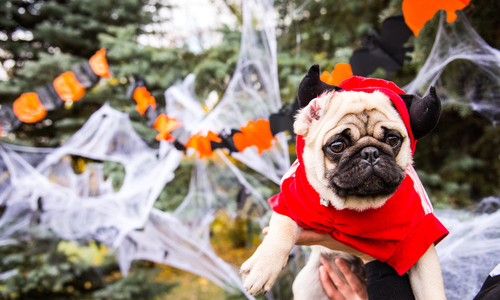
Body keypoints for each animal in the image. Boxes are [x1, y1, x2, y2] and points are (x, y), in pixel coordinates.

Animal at [239, 64, 450, 298]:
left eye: (393, 139)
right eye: (337, 146)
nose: (370, 153)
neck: (353, 205)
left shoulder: (420, 239)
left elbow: (431, 289)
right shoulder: (291, 201)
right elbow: (281, 231)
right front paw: (263, 268)